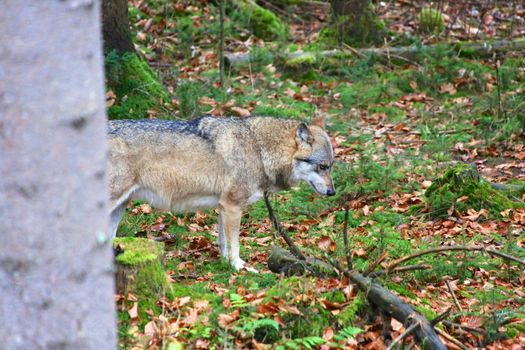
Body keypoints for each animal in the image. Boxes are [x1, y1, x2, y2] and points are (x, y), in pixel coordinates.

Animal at [108, 115, 336, 270]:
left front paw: (226, 264)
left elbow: (224, 242)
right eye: (322, 167)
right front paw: (239, 266)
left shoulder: (223, 207)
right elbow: (235, 244)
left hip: (119, 208)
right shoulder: (233, 207)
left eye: (331, 166)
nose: (333, 192)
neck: (258, 150)